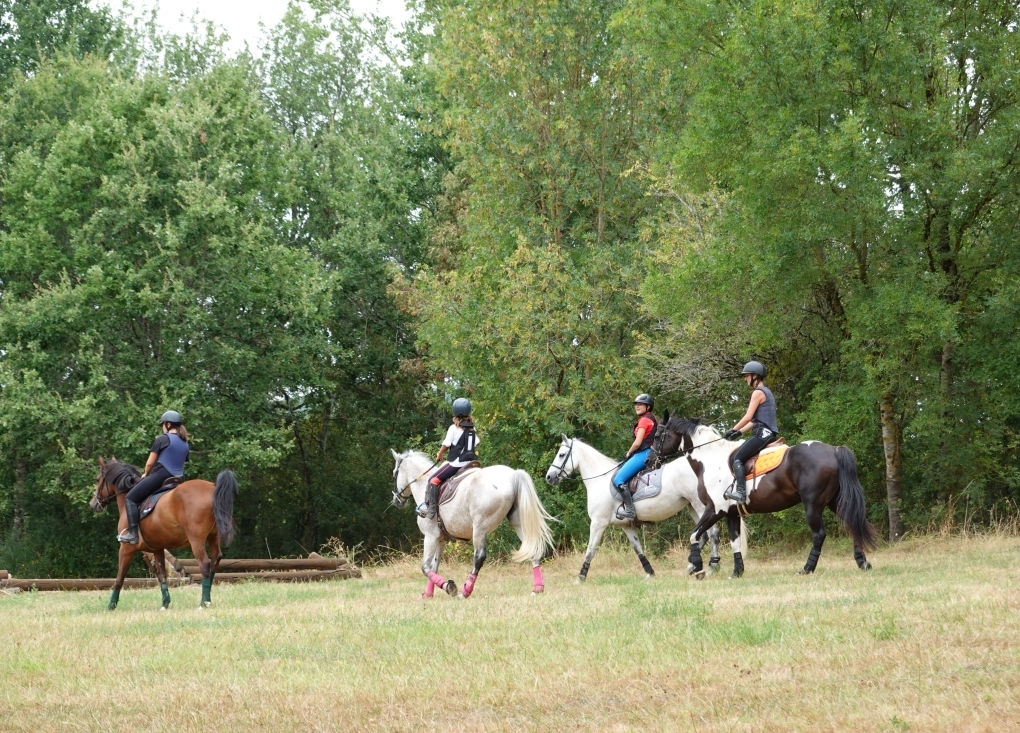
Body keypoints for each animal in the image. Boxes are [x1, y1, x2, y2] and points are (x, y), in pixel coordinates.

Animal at [89, 456, 236, 611]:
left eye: (98, 479)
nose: (92, 504)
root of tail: (213, 488)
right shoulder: (157, 548)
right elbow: (161, 575)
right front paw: (165, 603)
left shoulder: (126, 548)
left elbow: (119, 578)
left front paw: (111, 605)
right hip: (214, 536)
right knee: (215, 559)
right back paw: (208, 599)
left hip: (196, 540)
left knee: (205, 564)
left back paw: (204, 602)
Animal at [389, 450, 554, 599]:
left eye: (395, 473)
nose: (397, 501)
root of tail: (513, 475)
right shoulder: (441, 539)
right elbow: (434, 567)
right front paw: (428, 593)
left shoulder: (430, 536)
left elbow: (425, 567)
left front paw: (449, 587)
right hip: (518, 522)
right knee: (532, 548)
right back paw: (538, 588)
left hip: (480, 528)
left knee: (479, 557)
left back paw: (465, 591)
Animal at [542, 436, 734, 583]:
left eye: (561, 454)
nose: (549, 477)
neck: (599, 480)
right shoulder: (626, 526)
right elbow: (638, 549)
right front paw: (649, 573)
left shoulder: (598, 523)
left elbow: (590, 550)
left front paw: (580, 577)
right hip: (691, 507)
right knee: (702, 534)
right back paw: (692, 565)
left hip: (700, 505)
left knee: (712, 533)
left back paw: (712, 566)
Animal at [648, 417, 881, 579]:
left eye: (658, 436)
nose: (650, 460)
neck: (710, 460)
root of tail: (833, 450)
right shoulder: (731, 514)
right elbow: (734, 542)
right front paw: (737, 572)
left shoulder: (715, 510)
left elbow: (694, 535)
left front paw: (696, 567)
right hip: (836, 501)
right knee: (852, 524)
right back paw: (863, 563)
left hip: (812, 505)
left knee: (819, 535)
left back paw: (807, 568)